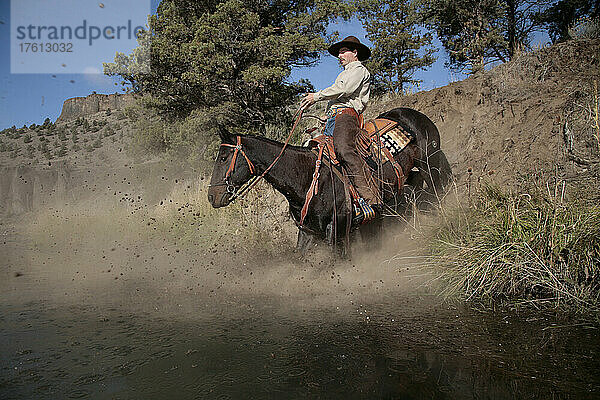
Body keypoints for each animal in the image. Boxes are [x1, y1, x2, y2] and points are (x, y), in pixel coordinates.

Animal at [209, 106, 452, 256]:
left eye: (223, 158)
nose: (212, 196)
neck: (307, 177)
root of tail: (414, 115)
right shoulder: (309, 232)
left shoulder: (337, 230)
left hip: (431, 164)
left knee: (439, 191)